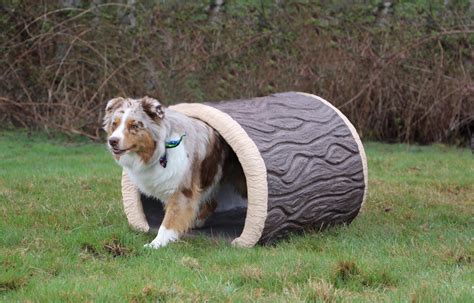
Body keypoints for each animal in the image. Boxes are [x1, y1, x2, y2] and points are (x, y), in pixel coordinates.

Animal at [103, 97, 230, 249]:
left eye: (134, 126)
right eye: (114, 124)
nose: (112, 141)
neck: (162, 151)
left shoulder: (182, 189)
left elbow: (169, 220)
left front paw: (156, 243)